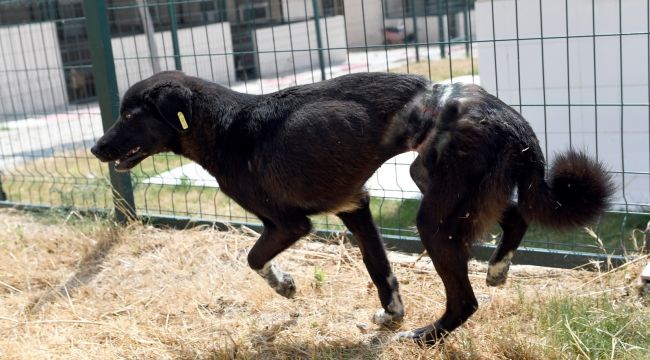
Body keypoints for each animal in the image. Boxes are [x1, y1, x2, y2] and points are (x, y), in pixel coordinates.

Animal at [91, 70, 612, 344]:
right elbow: (381, 270)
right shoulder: (355, 206)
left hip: (435, 210)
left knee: (465, 299)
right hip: (460, 191)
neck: (224, 126)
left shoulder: (289, 224)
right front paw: (391, 314)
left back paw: (425, 336)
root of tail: (506, 114)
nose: (96, 148)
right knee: (517, 215)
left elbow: (253, 257)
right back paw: (499, 268)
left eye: (130, 114)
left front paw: (284, 286)